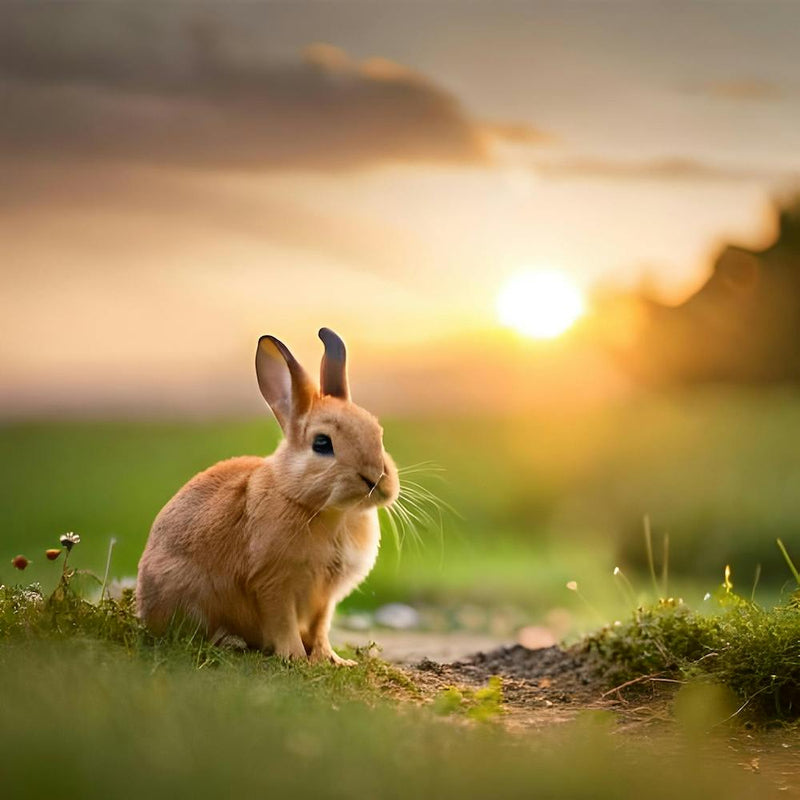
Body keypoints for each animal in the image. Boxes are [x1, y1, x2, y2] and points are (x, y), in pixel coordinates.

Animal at [136, 328, 399, 665]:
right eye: (322, 443)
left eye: (378, 433)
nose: (376, 479)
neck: (328, 511)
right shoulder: (273, 584)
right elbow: (283, 623)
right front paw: (295, 660)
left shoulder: (324, 597)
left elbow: (320, 628)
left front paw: (332, 660)